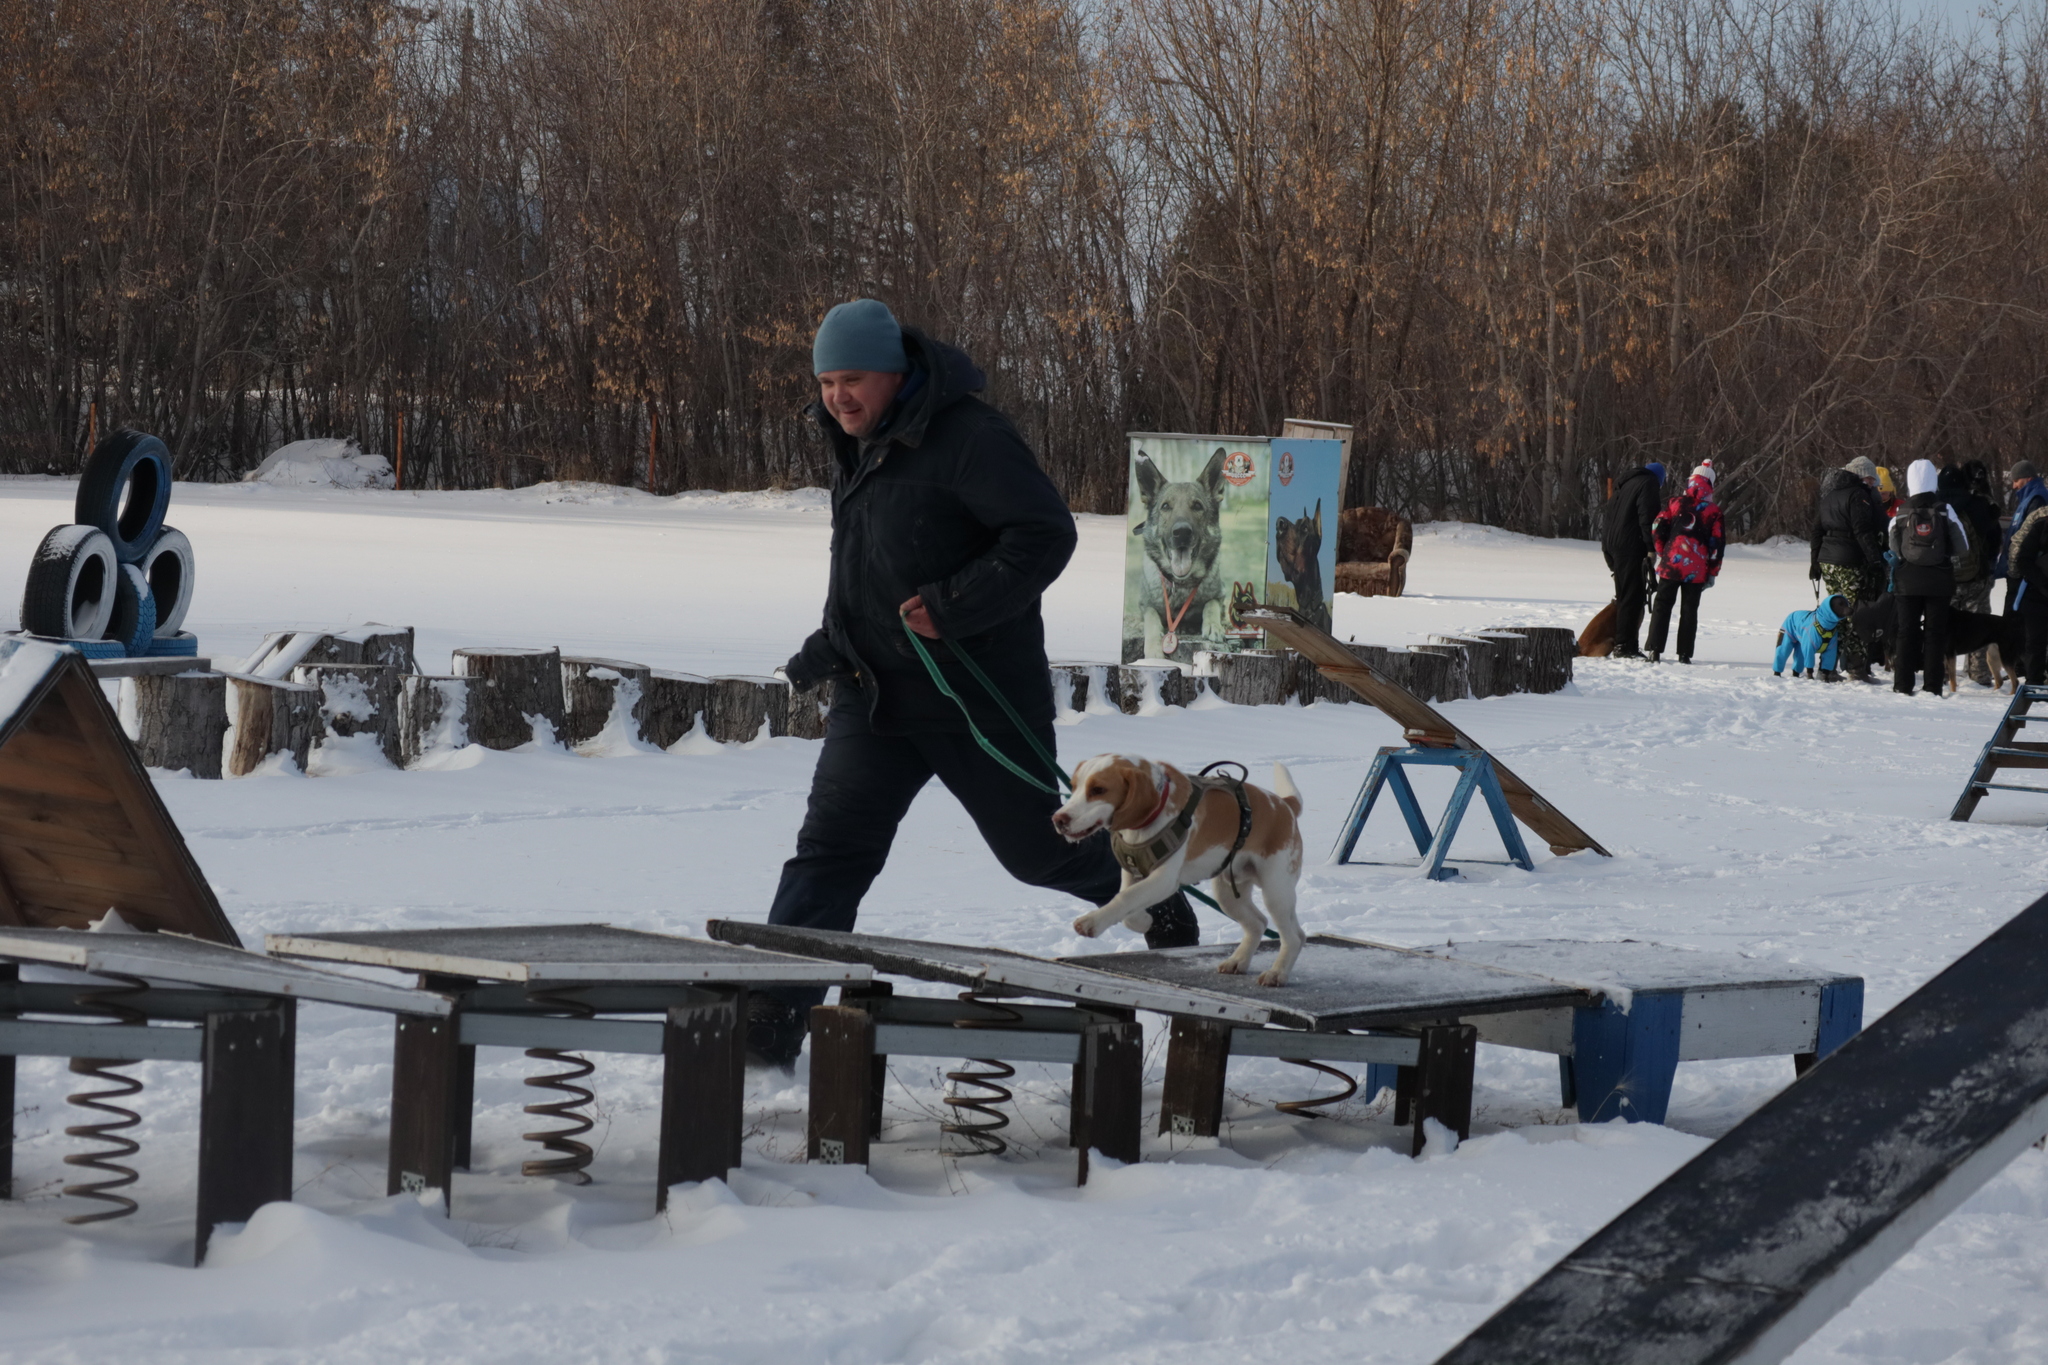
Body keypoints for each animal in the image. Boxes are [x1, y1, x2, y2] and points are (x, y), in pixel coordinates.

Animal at [1056, 753, 1310, 986]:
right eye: (1074, 786)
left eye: (1098, 789)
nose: (1058, 819)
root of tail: (1285, 805)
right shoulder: (1131, 870)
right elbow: (1127, 904)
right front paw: (1144, 922)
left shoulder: (1165, 879)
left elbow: (1125, 897)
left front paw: (1091, 922)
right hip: (1228, 894)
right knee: (1258, 924)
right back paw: (1237, 961)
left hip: (1276, 892)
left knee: (1295, 937)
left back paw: (1277, 973)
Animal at [1130, 450, 1220, 658]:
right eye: (1165, 506)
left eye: (1197, 506)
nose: (1182, 532)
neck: (1181, 584)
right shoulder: (1145, 605)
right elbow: (1151, 619)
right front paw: (1154, 649)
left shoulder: (1220, 596)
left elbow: (1212, 603)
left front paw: (1213, 625)